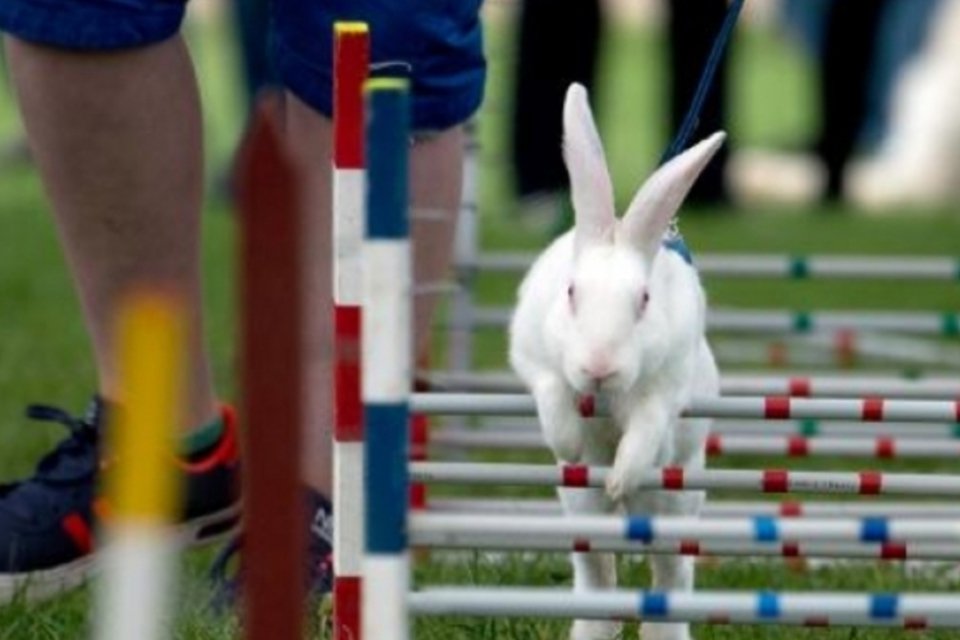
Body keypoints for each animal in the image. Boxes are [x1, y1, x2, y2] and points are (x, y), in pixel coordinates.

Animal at [510, 84, 720, 640]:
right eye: (571, 293)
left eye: (643, 300)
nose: (599, 366)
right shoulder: (536, 361)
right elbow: (552, 395)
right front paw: (569, 444)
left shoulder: (662, 397)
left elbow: (644, 432)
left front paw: (619, 477)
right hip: (579, 510)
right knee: (597, 570)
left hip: (677, 501)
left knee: (669, 573)